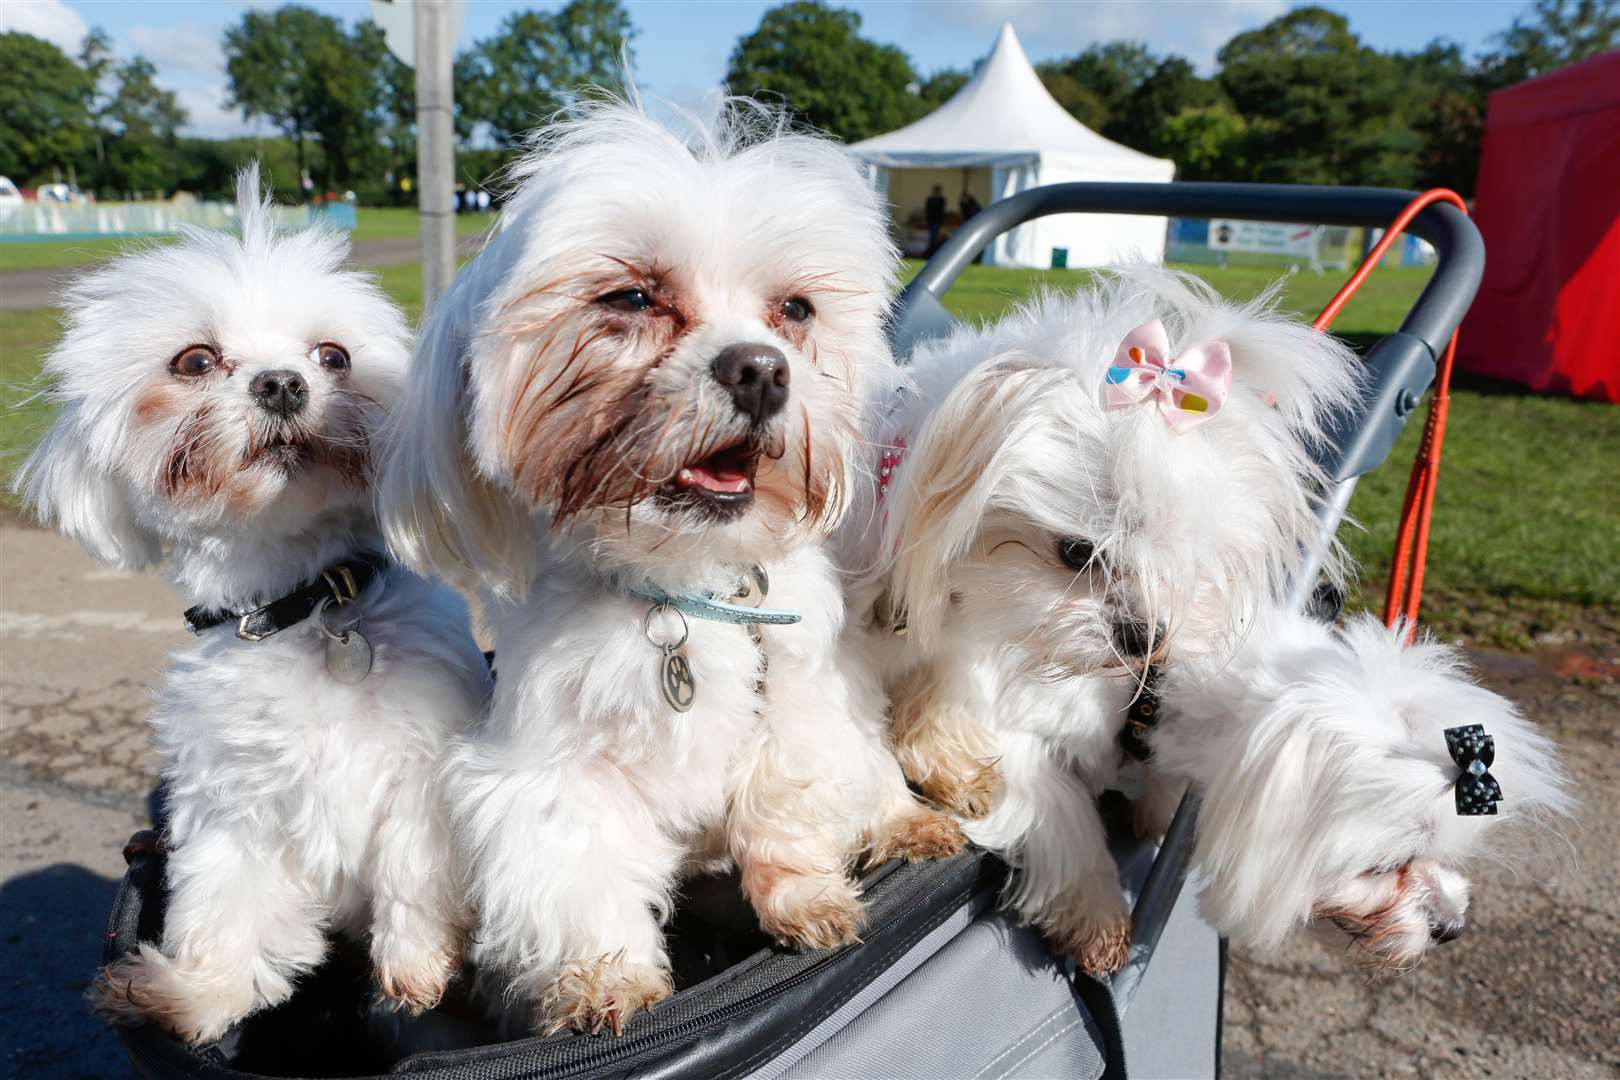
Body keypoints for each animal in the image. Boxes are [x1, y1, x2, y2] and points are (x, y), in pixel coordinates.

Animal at [19, 173, 489, 1042]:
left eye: (332, 355)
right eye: (196, 360)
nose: (281, 381)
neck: (306, 605)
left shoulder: (421, 768)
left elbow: (413, 871)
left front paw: (414, 969)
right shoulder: (231, 805)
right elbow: (225, 905)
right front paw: (194, 993)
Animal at [375, 103, 959, 1036]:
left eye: (795, 309)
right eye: (633, 297)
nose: (759, 368)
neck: (687, 587)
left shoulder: (796, 698)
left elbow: (786, 800)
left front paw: (807, 898)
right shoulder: (550, 767)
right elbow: (579, 873)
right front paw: (602, 980)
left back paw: (909, 825)